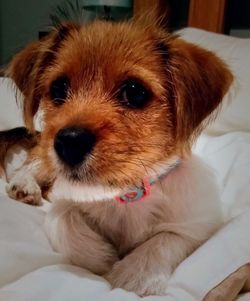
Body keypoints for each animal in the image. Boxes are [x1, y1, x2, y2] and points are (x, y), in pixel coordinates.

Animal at [3, 17, 232, 296]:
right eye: (58, 88)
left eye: (134, 92)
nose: (69, 142)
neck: (125, 194)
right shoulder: (62, 200)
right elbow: (65, 220)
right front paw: (102, 258)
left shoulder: (200, 224)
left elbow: (165, 239)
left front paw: (133, 275)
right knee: (34, 163)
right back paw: (24, 184)